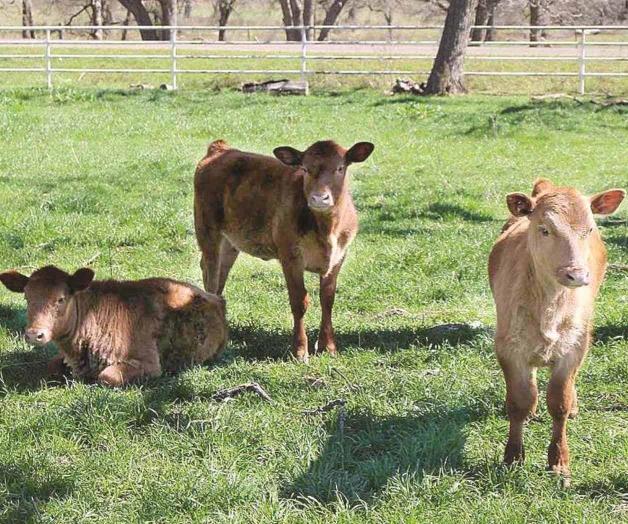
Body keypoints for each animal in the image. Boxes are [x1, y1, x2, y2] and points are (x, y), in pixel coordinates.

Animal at [0, 266, 228, 384]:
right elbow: (51, 365)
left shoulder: (150, 364)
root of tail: (216, 299)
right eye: (27, 298)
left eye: (61, 299)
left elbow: (108, 376)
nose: (34, 334)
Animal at [196, 139, 372, 360]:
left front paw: (328, 347)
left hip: (231, 242)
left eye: (340, 168)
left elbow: (328, 299)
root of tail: (221, 149)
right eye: (305, 169)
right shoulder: (290, 256)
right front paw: (299, 350)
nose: (319, 198)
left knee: (219, 276)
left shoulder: (338, 257)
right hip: (207, 230)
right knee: (210, 277)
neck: (327, 230)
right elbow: (299, 301)